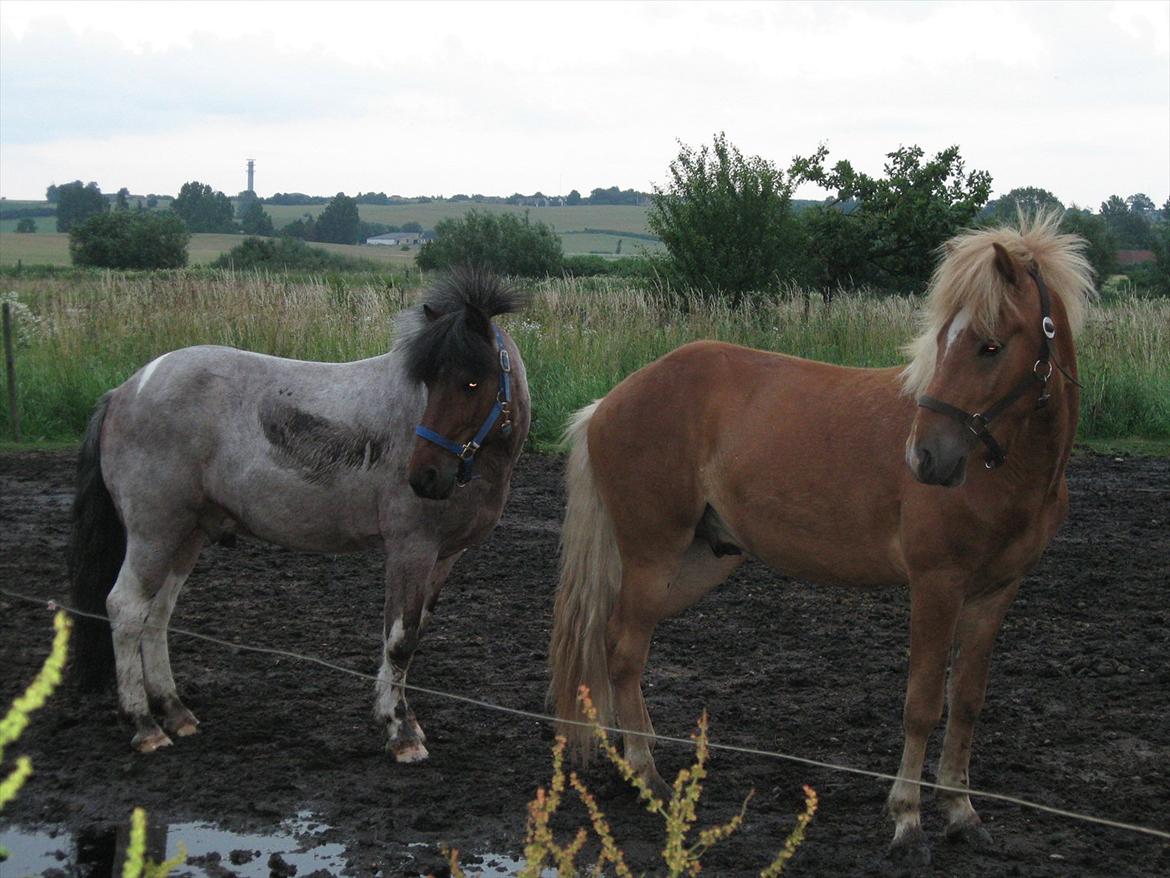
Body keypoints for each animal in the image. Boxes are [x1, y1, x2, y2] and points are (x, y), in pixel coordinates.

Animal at [68, 270, 531, 763]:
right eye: (429, 380)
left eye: (471, 383)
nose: (424, 477)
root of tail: (126, 389)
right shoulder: (411, 549)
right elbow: (400, 640)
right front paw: (401, 733)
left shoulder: (444, 557)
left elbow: (414, 633)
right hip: (153, 532)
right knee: (126, 609)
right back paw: (145, 725)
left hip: (185, 535)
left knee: (157, 616)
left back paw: (176, 712)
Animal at [552, 215, 1090, 866]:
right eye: (945, 339)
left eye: (990, 345)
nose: (925, 458)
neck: (1005, 471)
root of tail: (608, 402)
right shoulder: (936, 587)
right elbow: (922, 704)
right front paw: (907, 821)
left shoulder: (995, 593)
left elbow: (965, 702)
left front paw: (962, 813)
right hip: (653, 556)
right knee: (625, 650)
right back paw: (646, 772)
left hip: (695, 565)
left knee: (614, 643)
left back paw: (628, 755)